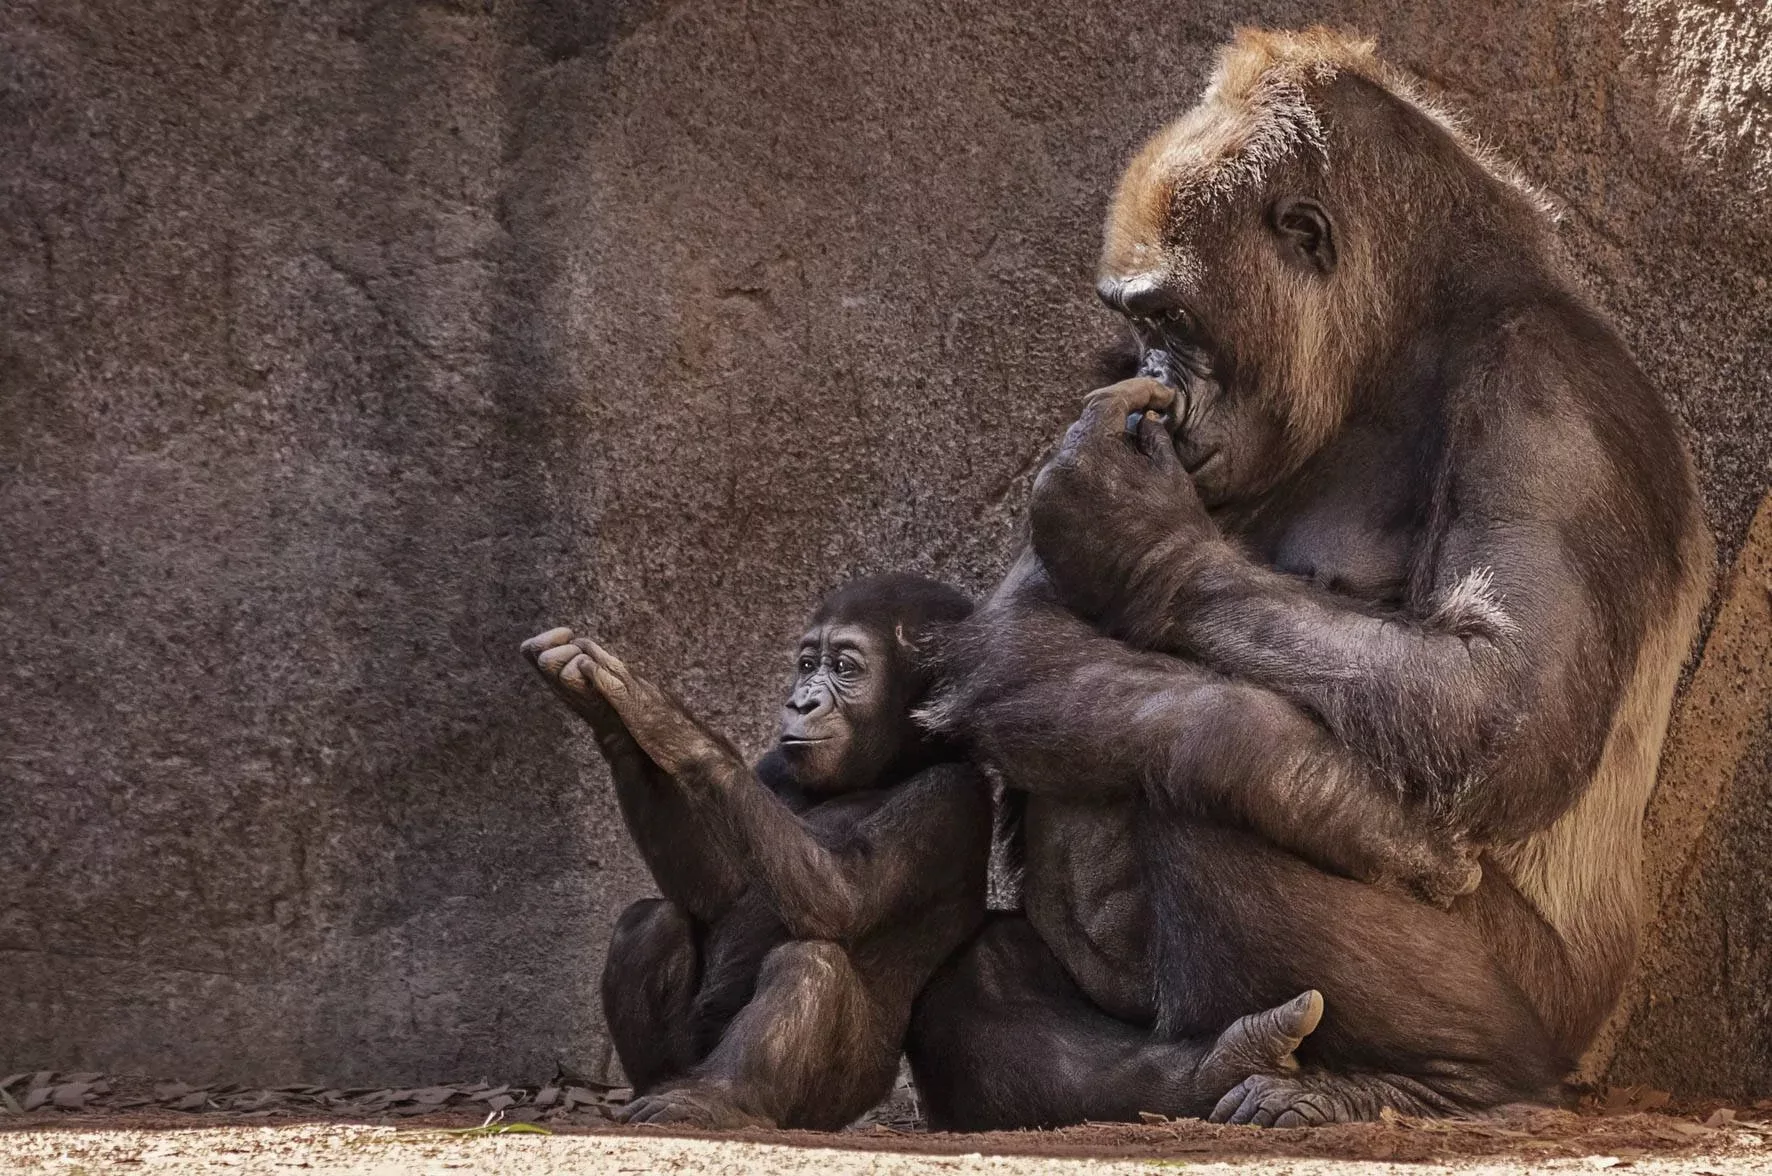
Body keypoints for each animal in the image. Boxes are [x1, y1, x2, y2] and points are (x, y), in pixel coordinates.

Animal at [907, 29, 1708, 1133]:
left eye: (1173, 317)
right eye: (1138, 326)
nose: (1160, 379)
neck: (1404, 335)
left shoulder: (1551, 396)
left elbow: (1497, 704)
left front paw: (1133, 533)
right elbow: (1019, 633)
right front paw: (1336, 803)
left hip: (1554, 1016)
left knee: (1207, 792)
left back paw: (1441, 1078)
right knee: (975, 986)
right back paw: (1192, 1072)